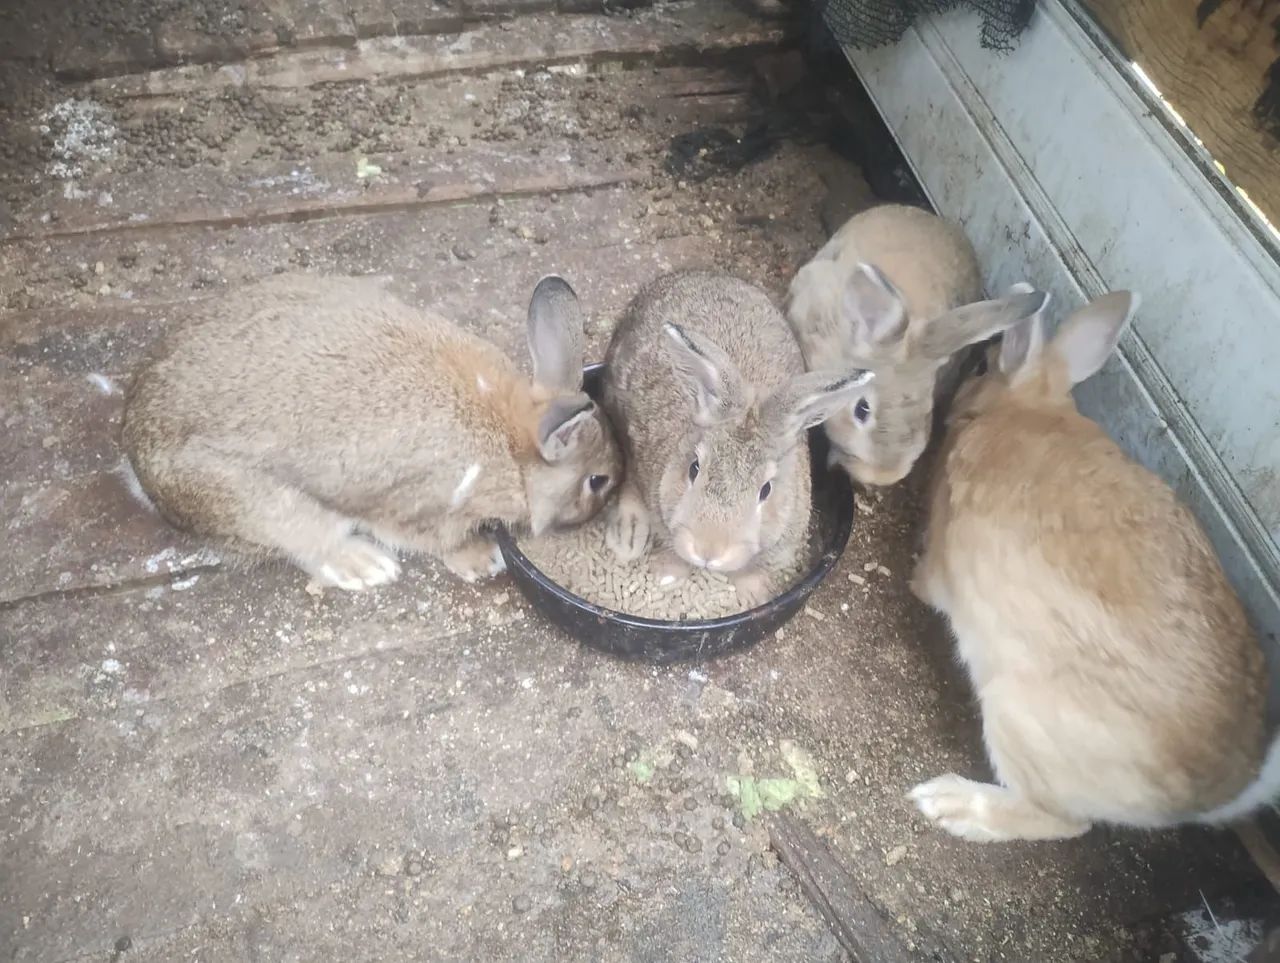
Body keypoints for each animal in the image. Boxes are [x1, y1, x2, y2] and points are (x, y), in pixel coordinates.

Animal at [122, 273, 622, 591]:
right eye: (597, 481)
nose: (602, 508)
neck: (512, 442)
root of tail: (136, 458)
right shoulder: (424, 507)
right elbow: (436, 541)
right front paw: (483, 558)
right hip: (264, 505)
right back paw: (367, 567)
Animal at [601, 270, 872, 607]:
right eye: (694, 469)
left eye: (766, 490)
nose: (708, 550)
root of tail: (699, 274)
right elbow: (671, 550)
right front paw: (667, 578)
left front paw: (752, 595)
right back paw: (628, 535)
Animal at [908, 285, 1275, 842]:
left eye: (983, 367)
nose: (957, 391)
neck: (1024, 408)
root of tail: (1226, 791)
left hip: (1016, 713)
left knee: (1063, 821)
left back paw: (951, 804)